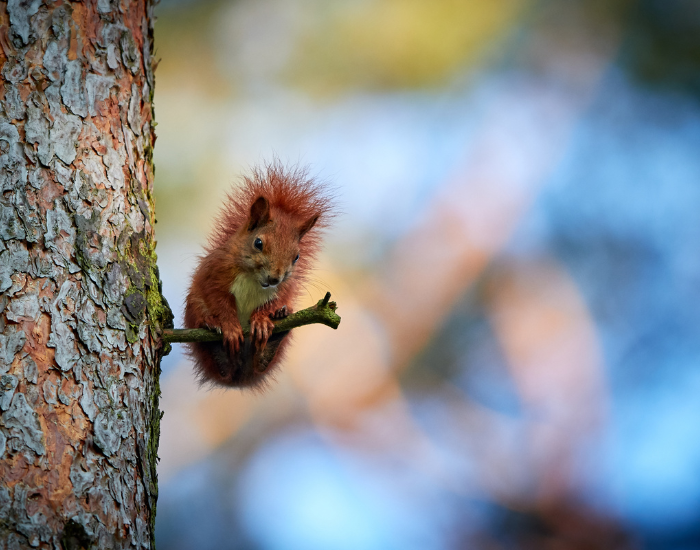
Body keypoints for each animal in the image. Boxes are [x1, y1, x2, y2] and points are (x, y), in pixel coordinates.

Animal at [184, 163, 333, 389]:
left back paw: (278, 325)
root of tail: (239, 378)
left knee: (260, 361)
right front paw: (229, 325)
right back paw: (210, 327)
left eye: (297, 256)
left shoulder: (285, 288)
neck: (253, 279)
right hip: (193, 308)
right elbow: (218, 300)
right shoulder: (214, 273)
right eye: (258, 243)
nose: (275, 278)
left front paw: (262, 320)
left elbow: (275, 300)